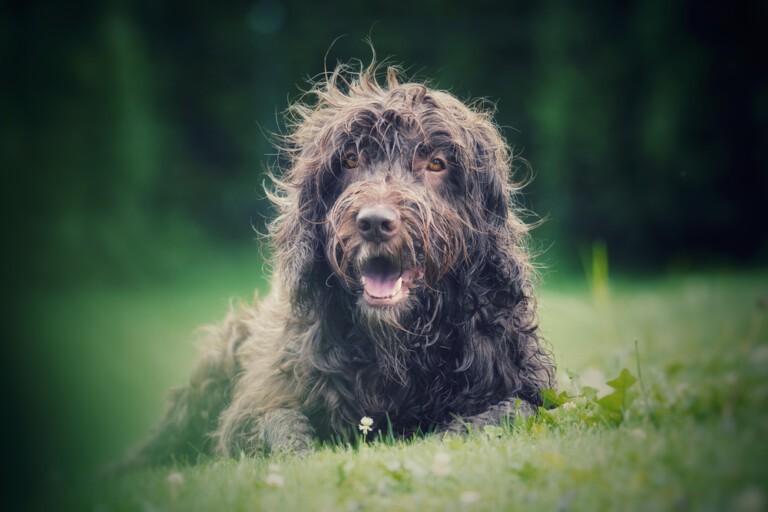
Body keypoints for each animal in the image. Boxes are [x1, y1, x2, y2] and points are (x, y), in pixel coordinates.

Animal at [121, 62, 552, 466]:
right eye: (350, 158)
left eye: (436, 163)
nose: (374, 222)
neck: (395, 348)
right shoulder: (260, 401)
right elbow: (276, 424)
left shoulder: (519, 381)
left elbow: (512, 409)